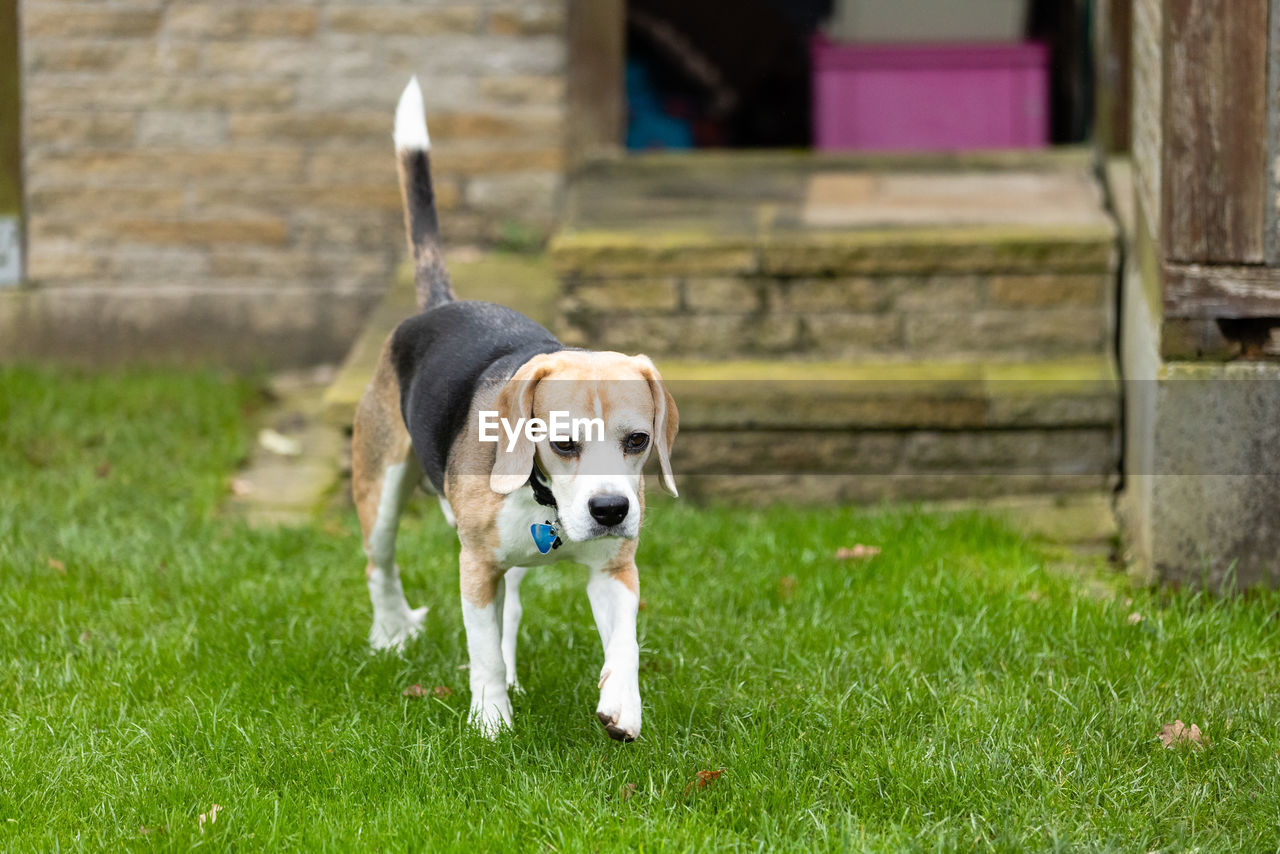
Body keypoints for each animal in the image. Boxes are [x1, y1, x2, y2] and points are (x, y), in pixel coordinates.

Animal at [345, 80, 675, 742]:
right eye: (564, 442)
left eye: (638, 441)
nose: (610, 510)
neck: (546, 502)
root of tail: (439, 306)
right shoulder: (475, 567)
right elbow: (483, 652)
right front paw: (491, 720)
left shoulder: (614, 569)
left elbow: (624, 640)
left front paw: (622, 702)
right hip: (381, 487)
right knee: (381, 564)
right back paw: (391, 631)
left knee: (513, 605)